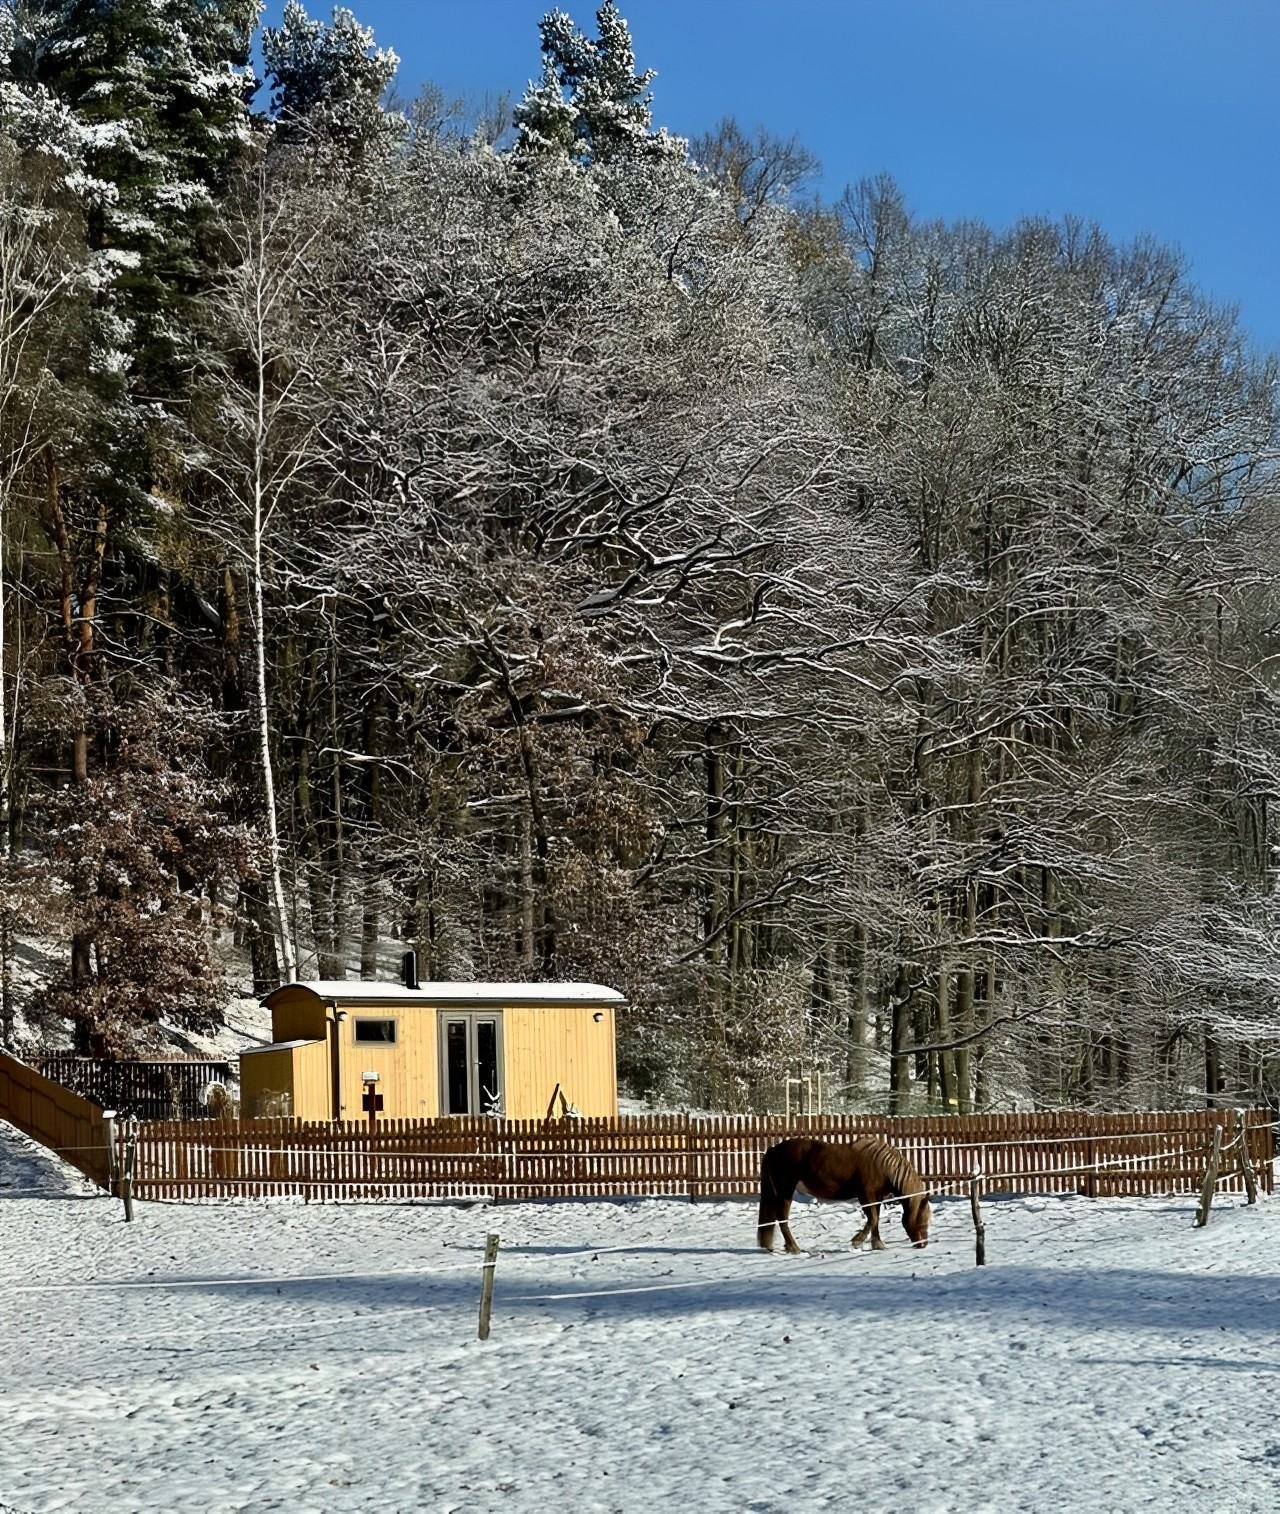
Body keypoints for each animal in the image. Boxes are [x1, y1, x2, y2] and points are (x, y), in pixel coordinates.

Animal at [760, 1138, 927, 1253]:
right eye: (922, 1218)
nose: (923, 1244)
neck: (881, 1165)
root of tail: (773, 1150)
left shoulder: (877, 1198)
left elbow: (876, 1220)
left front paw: (877, 1244)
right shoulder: (866, 1196)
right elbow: (872, 1219)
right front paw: (857, 1241)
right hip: (785, 1192)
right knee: (782, 1219)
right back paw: (794, 1247)